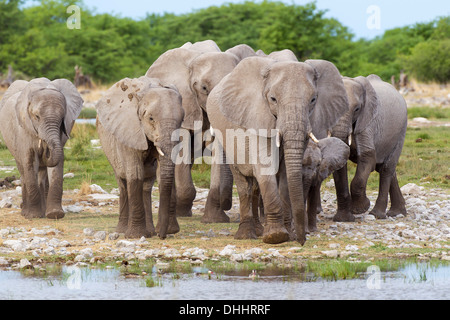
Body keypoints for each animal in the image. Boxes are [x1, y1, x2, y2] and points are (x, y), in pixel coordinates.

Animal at [0, 77, 83, 220]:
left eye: (62, 118)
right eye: (37, 117)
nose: (45, 150)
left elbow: (57, 164)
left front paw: (55, 214)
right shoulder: (24, 130)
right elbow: (30, 161)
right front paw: (33, 216)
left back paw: (43, 211)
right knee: (23, 171)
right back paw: (26, 212)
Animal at [96, 76, 185, 239]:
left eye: (182, 120)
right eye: (150, 118)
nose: (162, 235)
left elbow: (161, 175)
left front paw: (165, 231)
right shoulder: (129, 130)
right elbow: (135, 174)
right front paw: (135, 236)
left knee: (147, 184)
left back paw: (149, 232)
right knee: (123, 181)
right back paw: (122, 231)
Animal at [206, 56, 346, 244]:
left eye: (313, 99)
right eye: (273, 99)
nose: (302, 241)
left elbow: (286, 173)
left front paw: (288, 235)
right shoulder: (257, 118)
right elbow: (265, 168)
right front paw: (276, 236)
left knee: (255, 187)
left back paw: (258, 230)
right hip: (226, 137)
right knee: (243, 184)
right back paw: (246, 235)